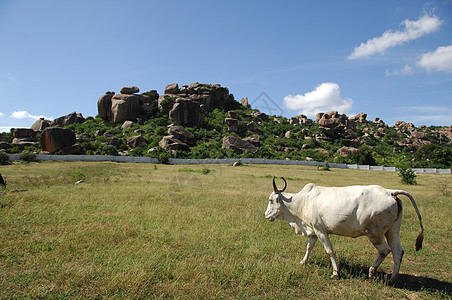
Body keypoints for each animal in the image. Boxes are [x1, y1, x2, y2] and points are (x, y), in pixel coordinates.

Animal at [264, 177, 424, 284]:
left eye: (271, 200)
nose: (266, 215)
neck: (303, 202)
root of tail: (390, 192)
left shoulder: (320, 230)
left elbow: (329, 250)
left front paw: (335, 272)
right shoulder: (313, 231)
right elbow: (309, 247)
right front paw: (303, 261)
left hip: (374, 233)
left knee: (385, 250)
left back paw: (372, 272)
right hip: (392, 231)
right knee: (398, 251)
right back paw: (392, 279)